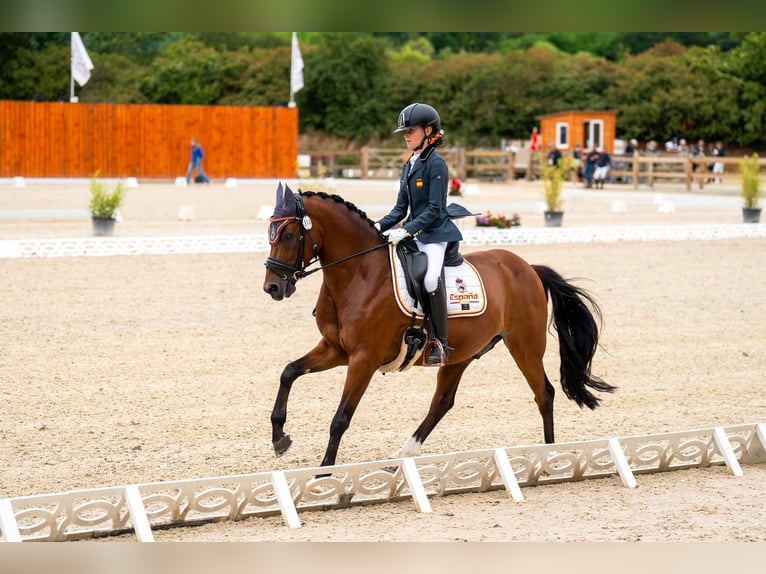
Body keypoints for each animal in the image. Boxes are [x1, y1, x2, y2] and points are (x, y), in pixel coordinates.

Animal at [264, 184, 616, 468]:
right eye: (270, 235)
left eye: (290, 235)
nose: (273, 288)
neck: (358, 273)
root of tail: (527, 267)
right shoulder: (335, 349)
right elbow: (288, 371)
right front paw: (280, 438)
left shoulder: (363, 358)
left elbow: (341, 418)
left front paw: (324, 472)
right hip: (460, 355)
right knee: (442, 403)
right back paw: (402, 457)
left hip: (525, 347)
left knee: (544, 393)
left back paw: (548, 457)